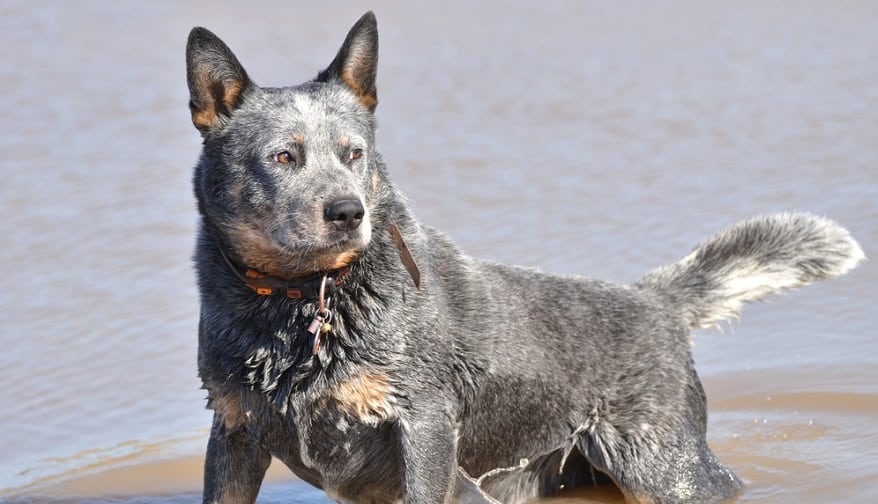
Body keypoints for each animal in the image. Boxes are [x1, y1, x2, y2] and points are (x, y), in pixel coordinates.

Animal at [186, 10, 868, 504]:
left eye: (354, 153)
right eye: (284, 157)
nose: (349, 212)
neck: (299, 307)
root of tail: (654, 301)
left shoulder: (425, 427)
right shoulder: (234, 431)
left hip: (663, 469)